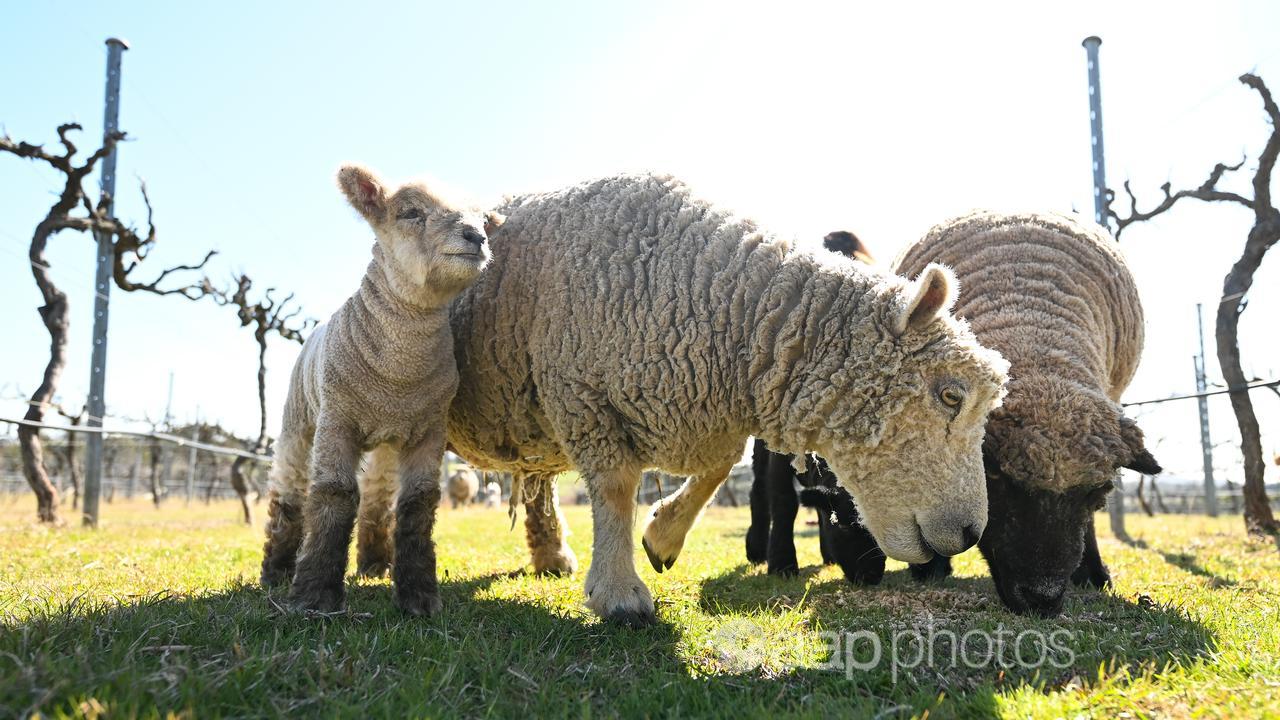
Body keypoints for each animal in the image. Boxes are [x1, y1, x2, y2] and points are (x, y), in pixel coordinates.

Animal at [258, 165, 499, 614]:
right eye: (410, 212)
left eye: (480, 217)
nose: (476, 236)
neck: (397, 376)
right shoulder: (336, 421)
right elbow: (334, 494)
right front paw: (315, 596)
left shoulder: (429, 430)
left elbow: (417, 503)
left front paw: (419, 598)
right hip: (297, 422)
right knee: (288, 492)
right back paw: (275, 570)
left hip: (387, 443)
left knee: (376, 497)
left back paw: (373, 564)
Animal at [424, 172, 1003, 622]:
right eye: (950, 395)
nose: (970, 533)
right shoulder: (583, 395)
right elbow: (615, 490)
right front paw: (619, 593)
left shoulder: (699, 406)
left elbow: (719, 467)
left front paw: (662, 537)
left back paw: (551, 558)